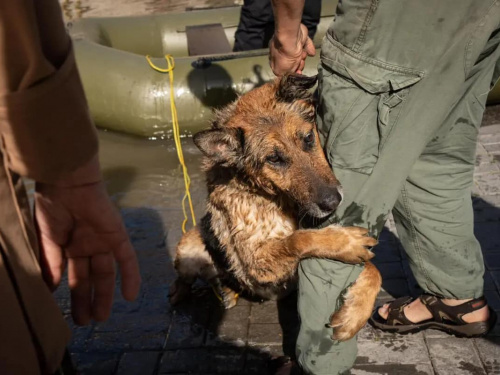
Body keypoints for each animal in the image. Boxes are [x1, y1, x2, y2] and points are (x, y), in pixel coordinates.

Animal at [170, 73, 380, 340]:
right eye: (274, 159)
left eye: (308, 138)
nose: (333, 202)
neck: (273, 196)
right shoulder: (255, 262)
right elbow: (298, 239)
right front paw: (343, 242)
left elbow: (374, 270)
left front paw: (355, 314)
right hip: (188, 247)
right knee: (185, 279)